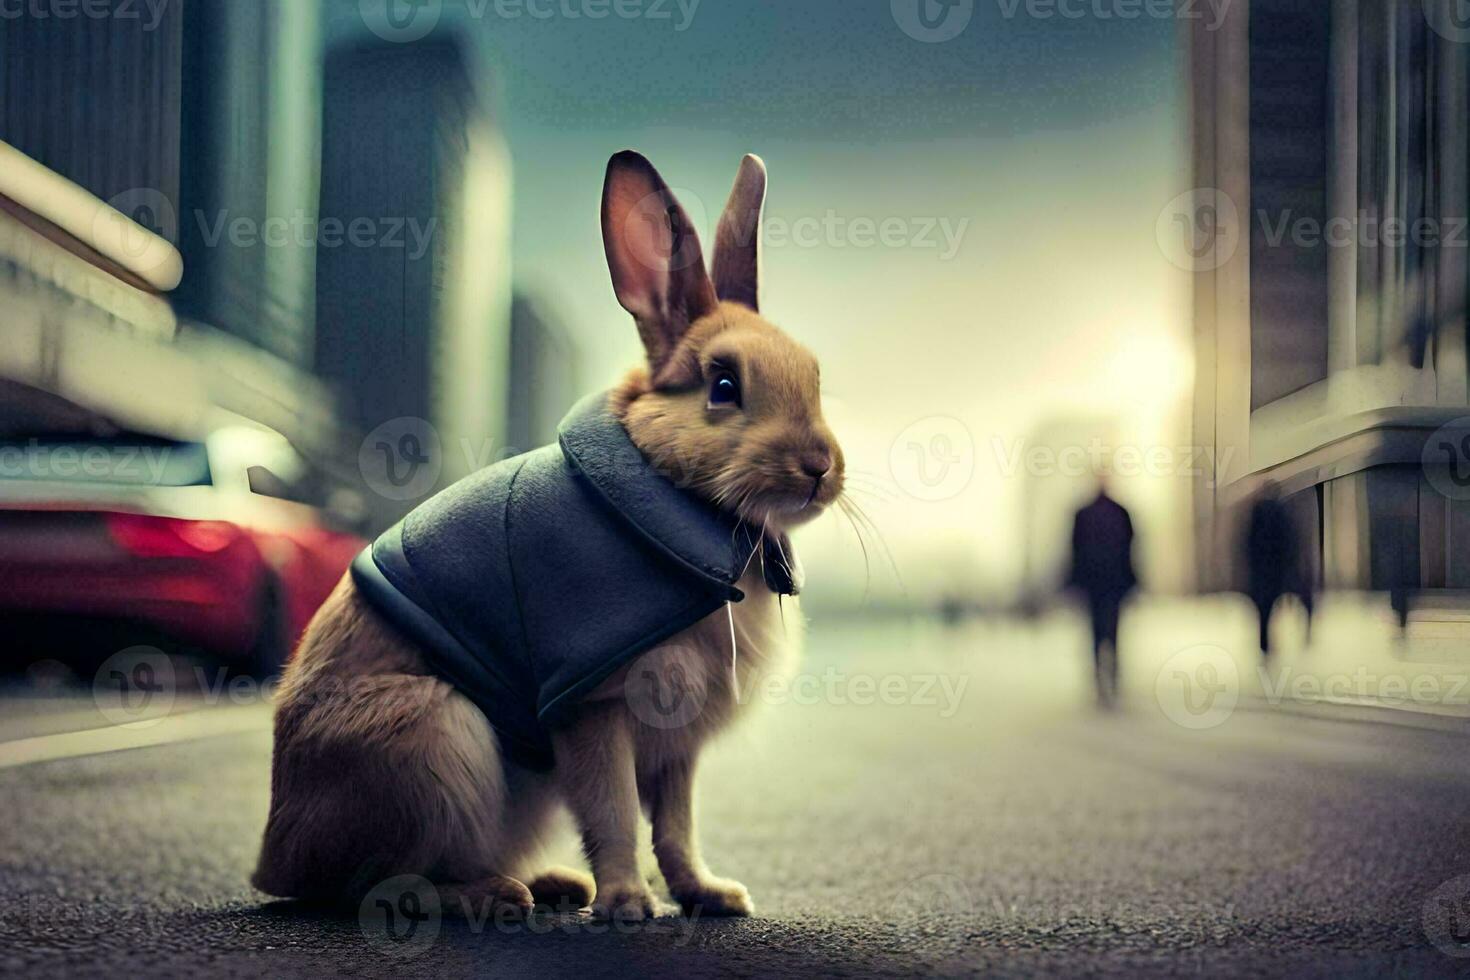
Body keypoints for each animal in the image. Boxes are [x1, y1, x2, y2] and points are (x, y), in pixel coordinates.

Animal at [251, 149, 846, 922]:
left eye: (814, 374)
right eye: (722, 385)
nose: (820, 468)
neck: (678, 503)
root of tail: (278, 857)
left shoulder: (675, 746)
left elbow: (676, 825)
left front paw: (711, 896)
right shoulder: (593, 704)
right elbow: (613, 811)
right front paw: (627, 905)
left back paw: (552, 886)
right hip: (439, 733)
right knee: (377, 886)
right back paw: (499, 897)